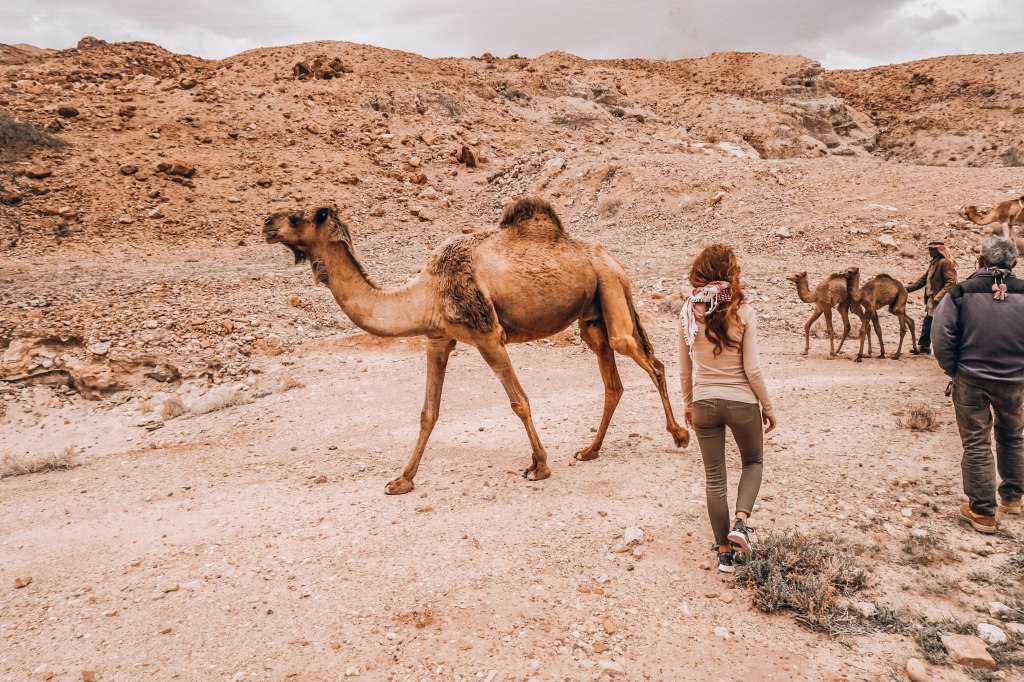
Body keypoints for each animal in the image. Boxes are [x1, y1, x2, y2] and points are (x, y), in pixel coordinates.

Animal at [262, 197, 689, 495]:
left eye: (298, 217)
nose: (267, 223)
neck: (425, 293)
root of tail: (613, 259)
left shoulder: (487, 335)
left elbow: (519, 401)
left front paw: (539, 466)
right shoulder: (438, 339)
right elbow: (428, 412)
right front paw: (402, 479)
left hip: (611, 289)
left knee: (648, 359)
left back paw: (680, 435)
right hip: (592, 313)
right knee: (612, 380)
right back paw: (589, 450)